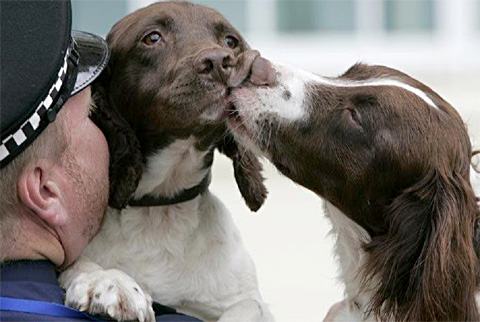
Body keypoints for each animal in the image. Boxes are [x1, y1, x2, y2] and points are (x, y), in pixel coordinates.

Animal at [58, 2, 276, 322]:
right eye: (152, 38)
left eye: (231, 41)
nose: (220, 62)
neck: (161, 209)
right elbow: (81, 264)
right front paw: (110, 282)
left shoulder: (244, 301)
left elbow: (248, 305)